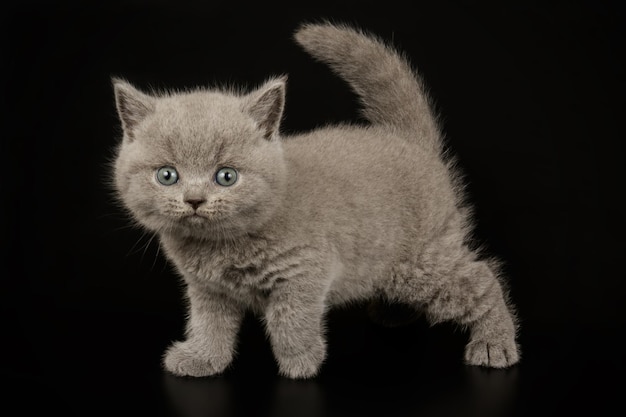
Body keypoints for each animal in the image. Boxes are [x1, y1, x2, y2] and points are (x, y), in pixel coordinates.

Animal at [111, 23, 516, 380]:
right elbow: (209, 324)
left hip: (416, 264)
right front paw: (202, 359)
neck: (218, 248)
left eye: (226, 176)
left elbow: (291, 319)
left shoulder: (305, 270)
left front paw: (300, 362)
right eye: (167, 175)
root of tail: (407, 141)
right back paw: (394, 315)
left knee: (481, 278)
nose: (194, 200)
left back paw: (494, 345)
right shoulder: (208, 289)